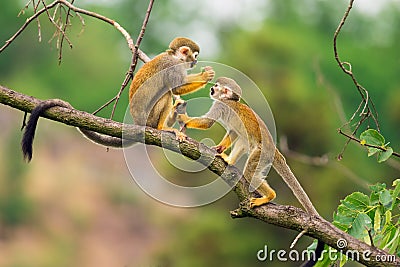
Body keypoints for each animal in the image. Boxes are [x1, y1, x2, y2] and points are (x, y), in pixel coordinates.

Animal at [21, 37, 216, 161]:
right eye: (194, 56)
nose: (195, 62)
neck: (174, 56)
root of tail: (139, 123)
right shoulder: (172, 65)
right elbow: (176, 87)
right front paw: (205, 76)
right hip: (149, 118)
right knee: (166, 93)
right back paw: (162, 128)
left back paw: (176, 112)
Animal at [177, 77, 320, 216]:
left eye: (216, 86)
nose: (212, 88)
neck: (228, 100)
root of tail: (274, 150)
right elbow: (233, 131)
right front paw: (219, 148)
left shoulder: (220, 105)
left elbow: (207, 122)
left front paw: (183, 118)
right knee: (242, 139)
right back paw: (230, 161)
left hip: (261, 154)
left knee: (250, 173)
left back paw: (269, 196)